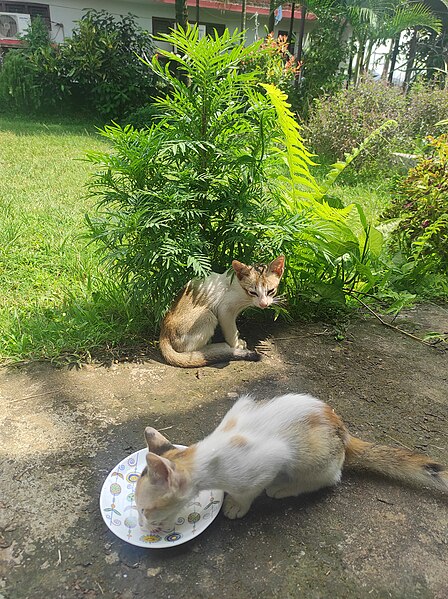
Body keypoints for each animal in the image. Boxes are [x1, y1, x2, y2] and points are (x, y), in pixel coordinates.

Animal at [135, 394, 446, 528]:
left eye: (147, 509)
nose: (143, 522)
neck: (208, 456)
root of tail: (343, 430)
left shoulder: (269, 460)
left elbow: (248, 492)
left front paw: (236, 505)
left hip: (312, 458)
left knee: (328, 478)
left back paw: (283, 488)